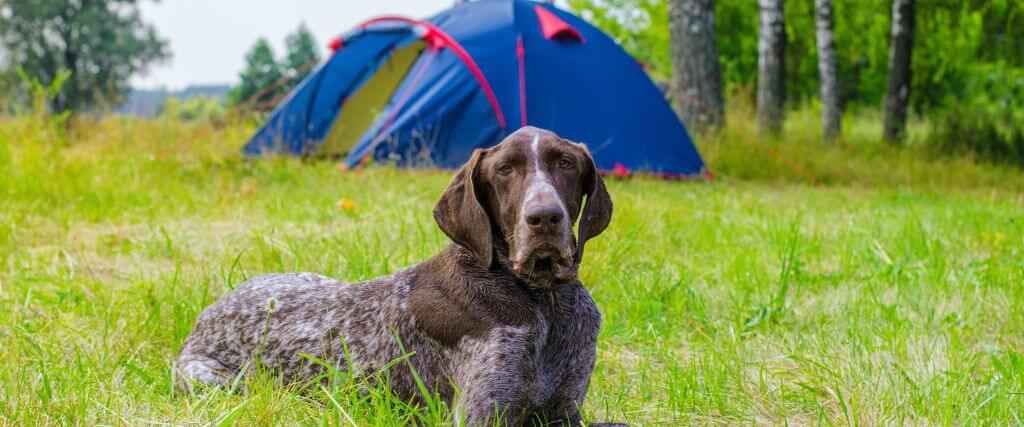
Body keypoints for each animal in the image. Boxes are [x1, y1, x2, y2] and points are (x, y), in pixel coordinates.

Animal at [174, 124, 614, 423]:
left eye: (566, 163)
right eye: (505, 169)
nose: (545, 217)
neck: (543, 299)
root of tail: (207, 313)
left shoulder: (564, 411)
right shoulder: (482, 413)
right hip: (215, 379)